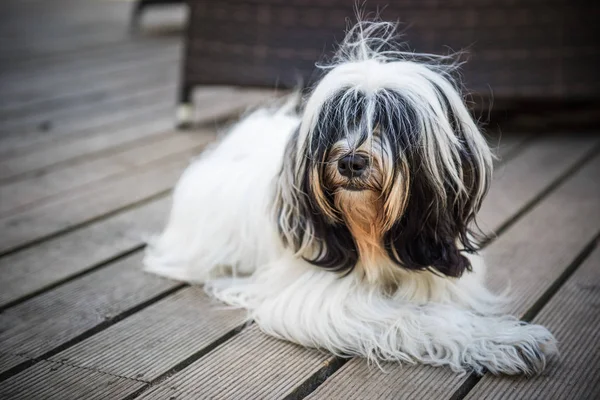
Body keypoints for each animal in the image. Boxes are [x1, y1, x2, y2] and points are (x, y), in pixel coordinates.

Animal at [145, 21, 556, 376]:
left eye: (393, 124)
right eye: (337, 123)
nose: (351, 161)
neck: (374, 235)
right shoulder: (319, 296)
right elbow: (411, 316)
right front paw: (508, 341)